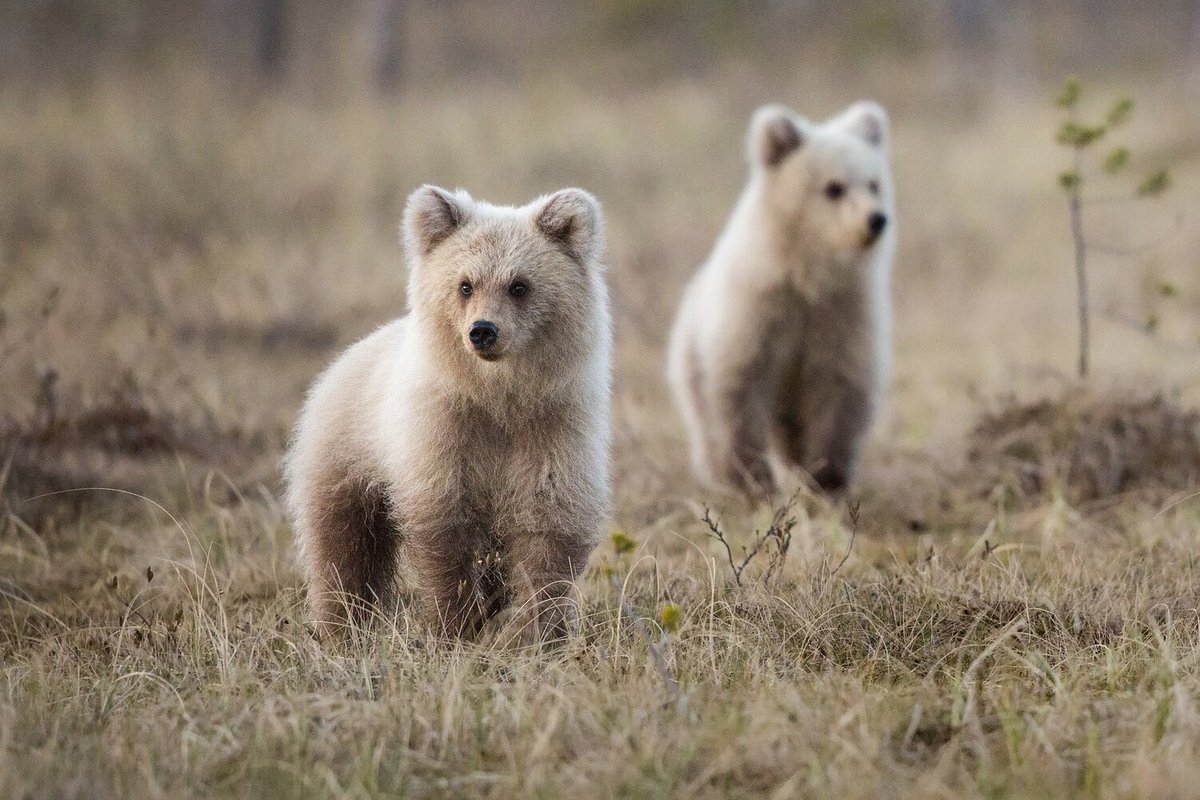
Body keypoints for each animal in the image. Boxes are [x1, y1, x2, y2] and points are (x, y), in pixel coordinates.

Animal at [284, 184, 612, 642]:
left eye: (519, 285)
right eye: (465, 284)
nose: (483, 331)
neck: (499, 399)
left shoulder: (551, 433)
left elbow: (548, 534)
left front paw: (543, 630)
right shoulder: (444, 438)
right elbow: (444, 535)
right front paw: (454, 623)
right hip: (345, 457)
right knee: (343, 546)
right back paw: (342, 624)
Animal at [666, 100, 895, 496]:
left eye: (873, 183)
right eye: (833, 188)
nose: (876, 220)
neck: (807, 276)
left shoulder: (842, 313)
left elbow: (839, 389)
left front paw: (825, 476)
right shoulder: (757, 312)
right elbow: (738, 387)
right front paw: (747, 477)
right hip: (689, 354)